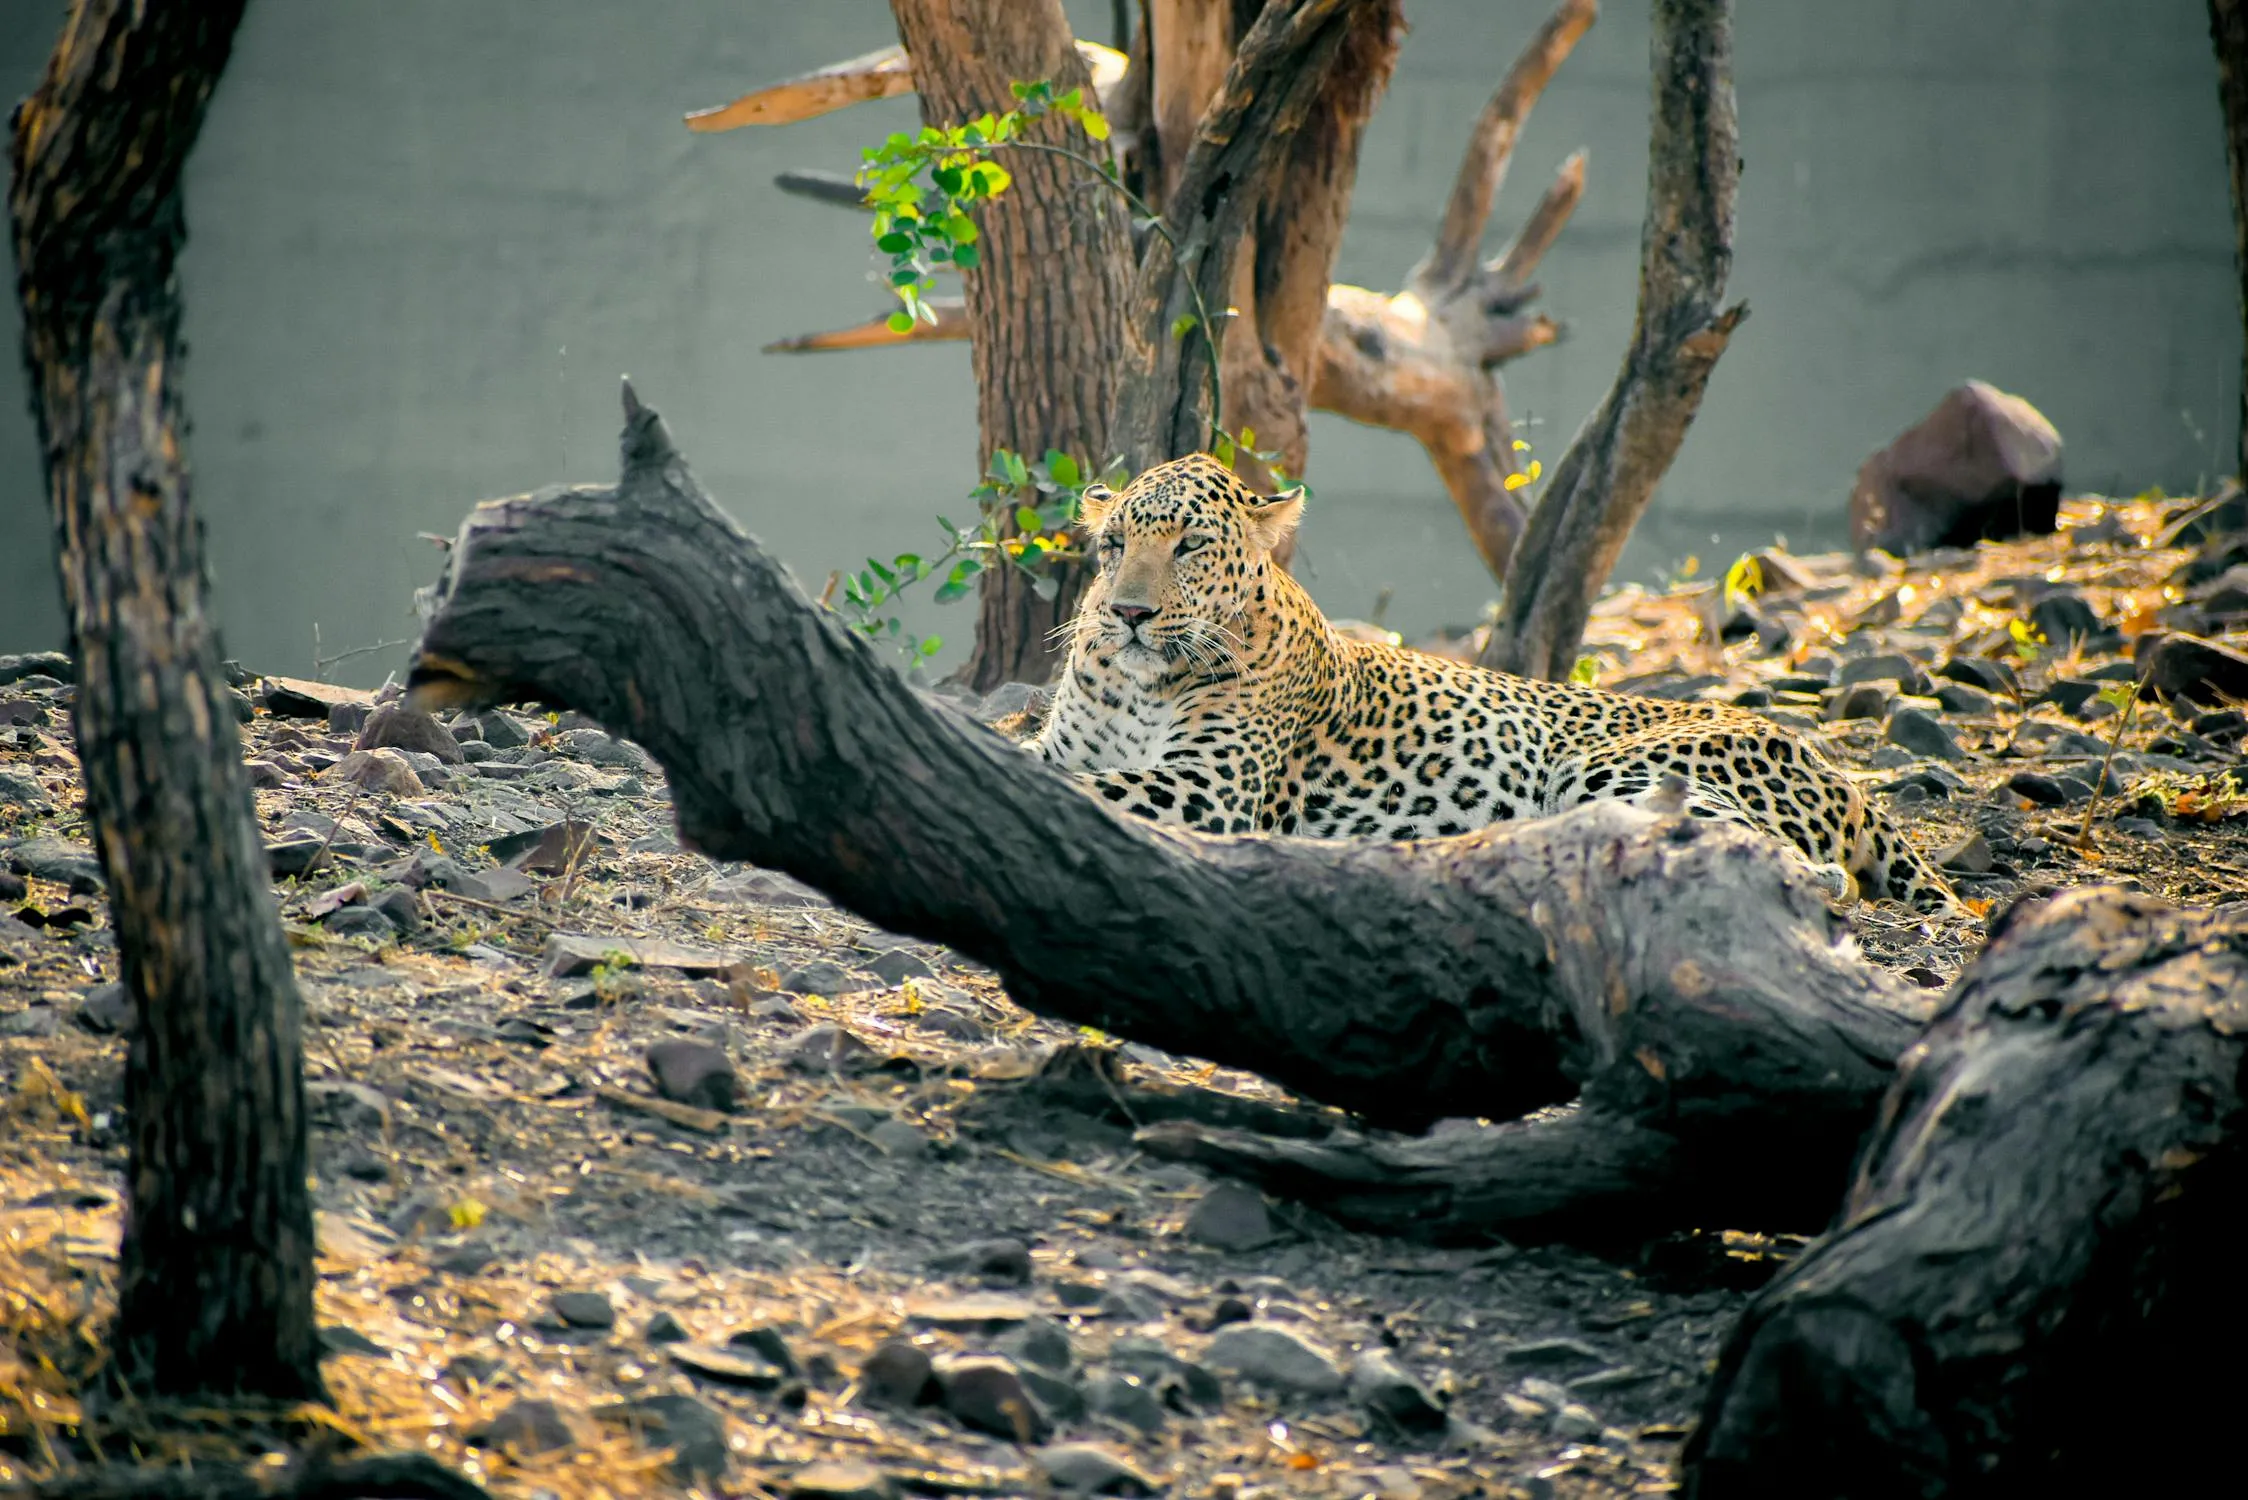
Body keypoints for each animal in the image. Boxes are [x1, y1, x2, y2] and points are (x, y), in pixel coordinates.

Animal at [1027, 452, 1957, 911]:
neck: (1140, 684)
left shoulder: (1210, 786)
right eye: (1114, 545)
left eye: (1188, 545)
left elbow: (1096, 786)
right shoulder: (1068, 742)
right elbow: (1046, 762)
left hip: (1615, 769)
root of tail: (1832, 769)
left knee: (1799, 868)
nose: (1128, 613)